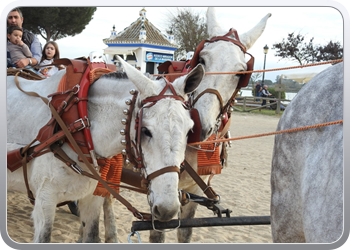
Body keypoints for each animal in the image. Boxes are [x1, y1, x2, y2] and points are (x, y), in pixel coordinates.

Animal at [6, 57, 205, 242]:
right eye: (145, 131)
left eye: (190, 130)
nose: (167, 209)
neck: (79, 126)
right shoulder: (45, 200)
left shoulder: (92, 198)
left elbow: (92, 235)